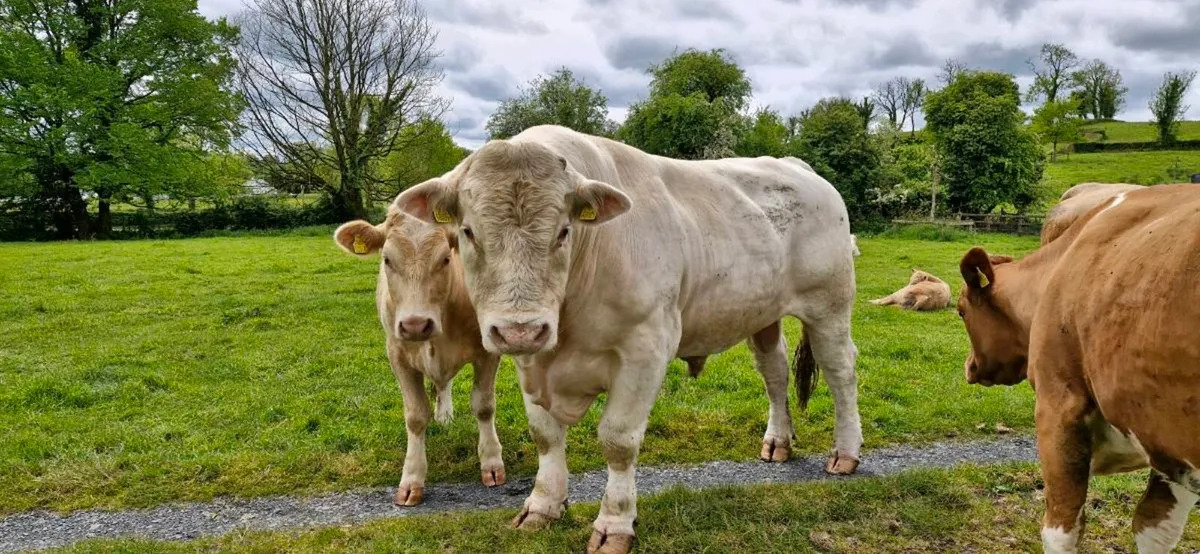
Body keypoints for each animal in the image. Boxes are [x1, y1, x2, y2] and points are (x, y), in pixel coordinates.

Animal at [332, 202, 505, 507]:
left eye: (445, 259)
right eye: (387, 260)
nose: (415, 324)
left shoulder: (487, 351)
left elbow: (484, 406)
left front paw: (492, 463)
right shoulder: (397, 356)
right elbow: (415, 417)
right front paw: (411, 478)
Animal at [395, 125, 863, 554]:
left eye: (563, 231)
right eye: (468, 232)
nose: (520, 329)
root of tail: (796, 166)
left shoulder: (646, 349)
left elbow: (618, 441)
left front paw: (615, 524)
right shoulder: (531, 359)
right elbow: (545, 434)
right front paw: (543, 505)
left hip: (830, 306)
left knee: (841, 372)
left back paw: (845, 453)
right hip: (762, 313)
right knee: (775, 373)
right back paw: (778, 441)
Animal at [955, 183, 1200, 554]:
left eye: (960, 311)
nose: (969, 367)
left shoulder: (1059, 406)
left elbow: (1061, 528)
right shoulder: (1166, 443)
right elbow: (1155, 527)